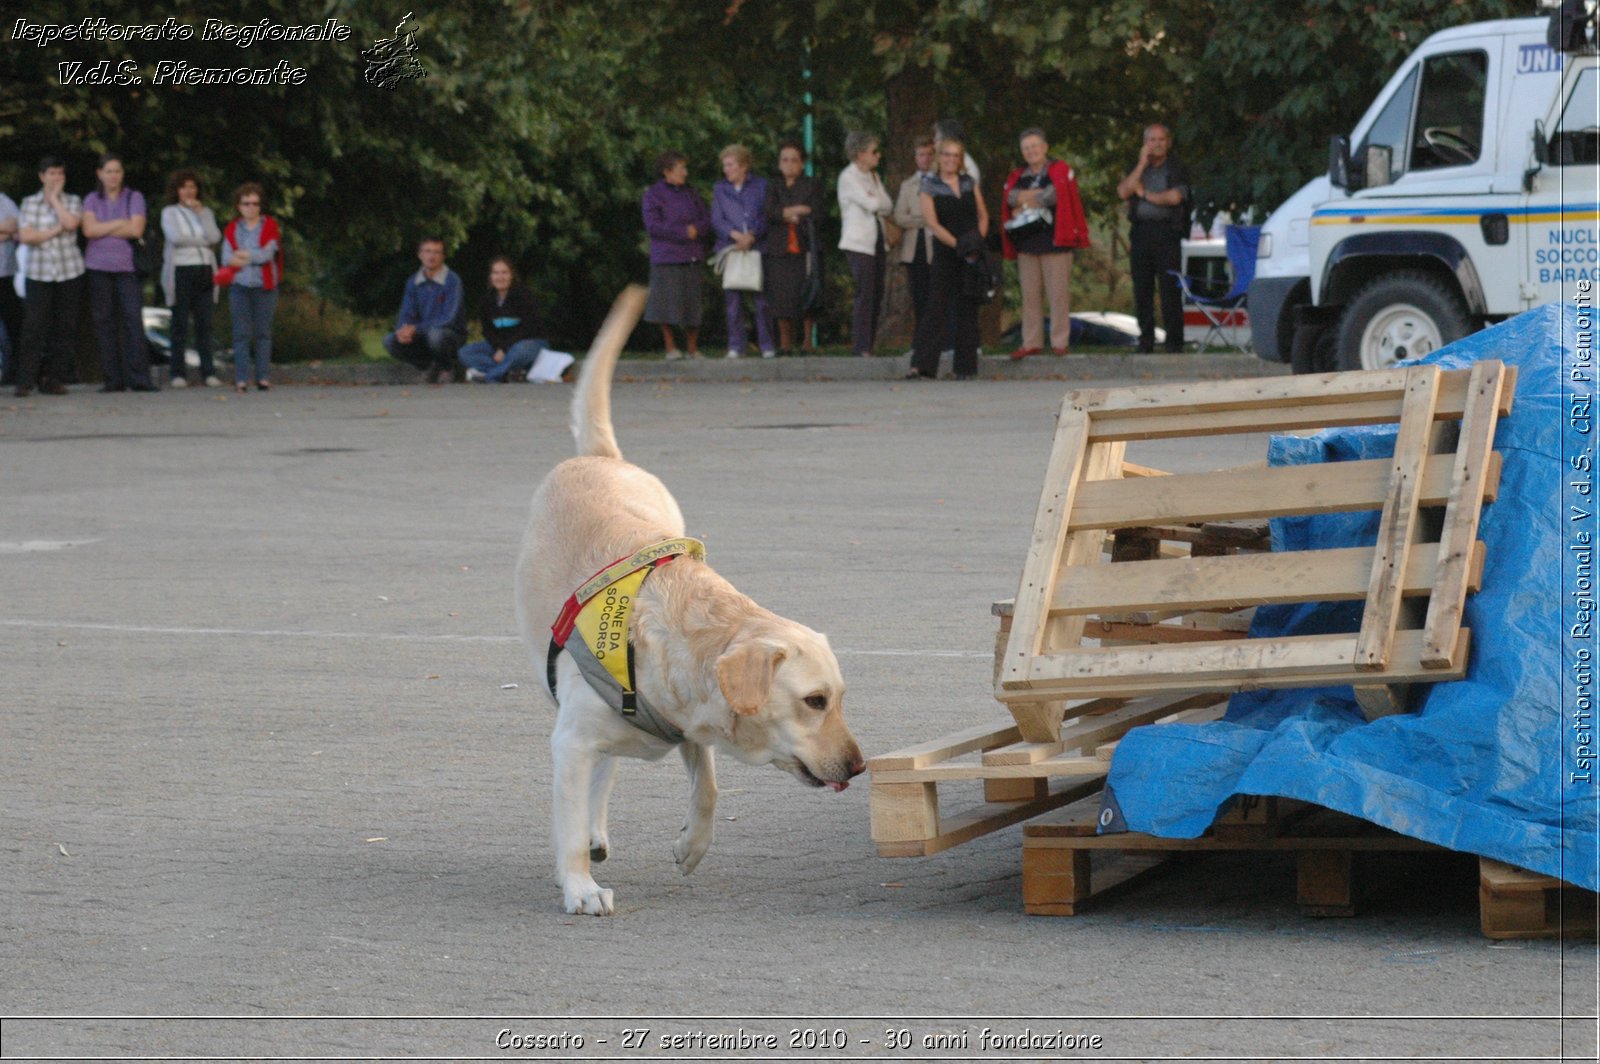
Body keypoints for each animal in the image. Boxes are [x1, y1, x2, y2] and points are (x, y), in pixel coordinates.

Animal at [512, 288, 864, 915]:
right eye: (815, 701)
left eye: (839, 698)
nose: (861, 765)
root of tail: (601, 457)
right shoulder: (572, 741)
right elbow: (569, 825)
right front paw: (579, 887)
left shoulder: (693, 727)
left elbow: (710, 787)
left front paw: (691, 846)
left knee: (609, 772)